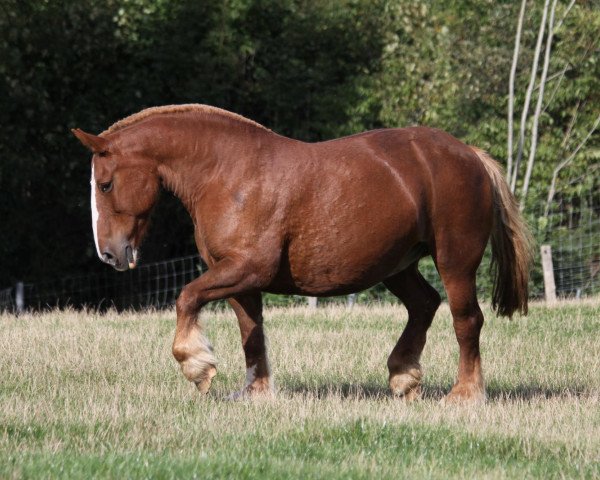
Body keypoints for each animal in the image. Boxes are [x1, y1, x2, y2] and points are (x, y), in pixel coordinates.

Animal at [71, 103, 536, 404]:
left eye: (106, 184)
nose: (109, 254)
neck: (228, 173)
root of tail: (468, 154)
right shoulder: (237, 277)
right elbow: (251, 332)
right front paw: (255, 392)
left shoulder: (247, 268)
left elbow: (186, 298)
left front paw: (197, 365)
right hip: (396, 264)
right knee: (424, 304)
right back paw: (404, 376)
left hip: (455, 260)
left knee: (466, 320)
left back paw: (465, 393)